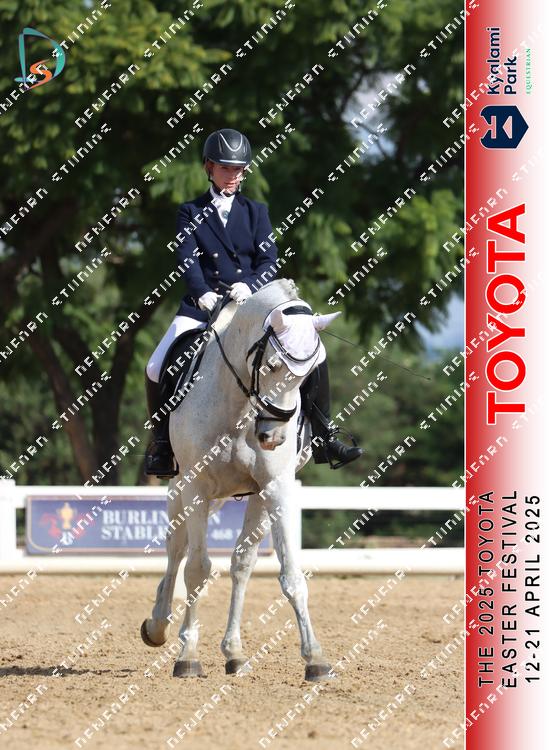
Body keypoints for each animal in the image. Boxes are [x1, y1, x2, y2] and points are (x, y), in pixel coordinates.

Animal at [140, 278, 339, 681]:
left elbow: (285, 573)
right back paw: (158, 624)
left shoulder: (273, 488)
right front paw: (188, 656)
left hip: (236, 497)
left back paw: (233, 652)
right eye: (273, 365)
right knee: (177, 551)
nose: (273, 437)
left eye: (309, 373)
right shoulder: (196, 487)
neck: (239, 403)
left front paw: (315, 659)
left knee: (237, 563)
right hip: (180, 490)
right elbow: (198, 570)